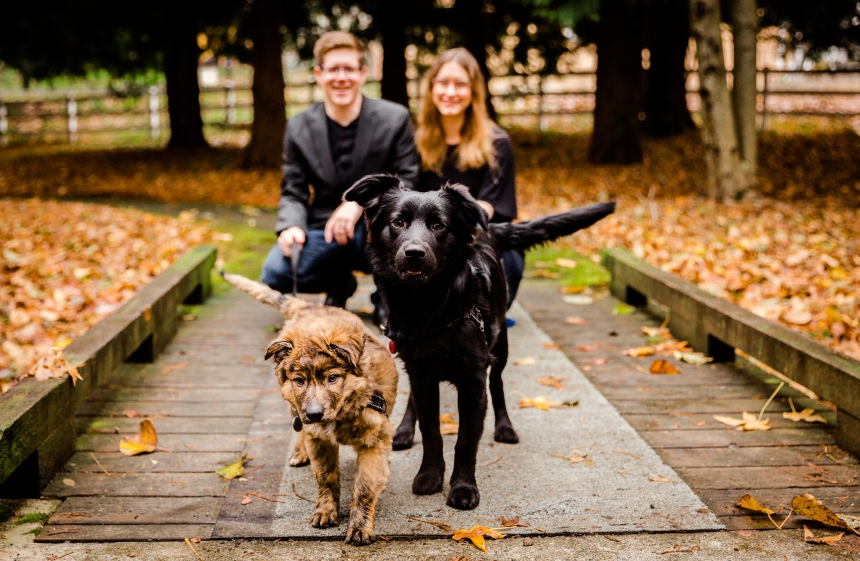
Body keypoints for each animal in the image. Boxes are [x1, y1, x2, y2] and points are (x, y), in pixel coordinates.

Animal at [222, 272, 396, 544]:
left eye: (333, 378)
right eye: (300, 380)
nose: (314, 414)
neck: (343, 410)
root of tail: (308, 306)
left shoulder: (374, 440)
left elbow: (365, 488)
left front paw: (359, 527)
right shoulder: (319, 439)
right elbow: (326, 477)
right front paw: (326, 511)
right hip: (293, 406)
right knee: (299, 428)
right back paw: (299, 451)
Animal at [340, 174, 612, 508]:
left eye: (439, 225)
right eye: (398, 222)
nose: (414, 252)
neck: (428, 308)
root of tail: (486, 229)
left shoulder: (473, 382)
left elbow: (466, 440)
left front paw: (462, 487)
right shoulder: (421, 373)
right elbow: (431, 430)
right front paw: (430, 475)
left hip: (500, 345)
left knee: (498, 385)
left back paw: (505, 427)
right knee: (413, 400)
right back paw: (404, 430)